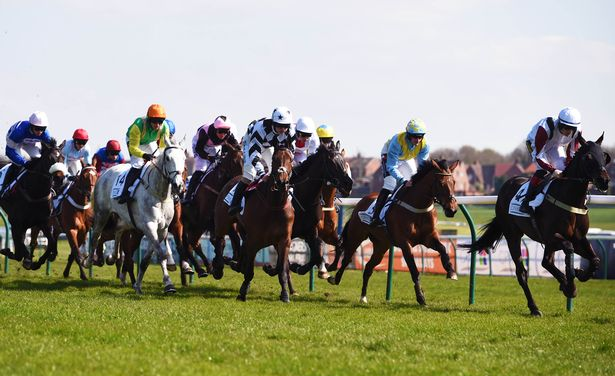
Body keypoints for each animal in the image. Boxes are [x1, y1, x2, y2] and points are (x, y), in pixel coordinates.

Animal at [0, 140, 60, 268]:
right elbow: (19, 249)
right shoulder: (16, 222)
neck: (35, 193)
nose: (59, 177)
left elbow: (51, 242)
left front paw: (38, 262)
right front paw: (25, 259)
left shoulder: (43, 221)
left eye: (62, 158)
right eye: (50, 159)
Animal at [212, 144, 296, 302]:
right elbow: (250, 270)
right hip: (222, 222)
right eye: (274, 160)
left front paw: (285, 294)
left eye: (291, 160)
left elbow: (282, 269)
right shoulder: (253, 240)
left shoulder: (283, 241)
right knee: (218, 240)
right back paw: (218, 267)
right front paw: (243, 292)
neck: (274, 204)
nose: (281, 181)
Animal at [330, 159, 460, 306]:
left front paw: (451, 271)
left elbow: (443, 249)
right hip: (356, 236)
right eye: (441, 183)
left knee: (368, 268)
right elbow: (414, 270)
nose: (452, 209)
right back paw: (335, 279)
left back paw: (363, 297)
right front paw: (421, 297)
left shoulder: (429, 237)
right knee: (347, 258)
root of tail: (361, 201)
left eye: (454, 182)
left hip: (381, 245)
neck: (418, 208)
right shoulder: (405, 243)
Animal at [466, 134, 612, 316]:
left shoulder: (579, 238)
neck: (569, 199)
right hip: (513, 235)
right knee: (522, 272)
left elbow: (595, 259)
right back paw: (535, 307)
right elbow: (569, 247)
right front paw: (571, 285)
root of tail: (506, 186)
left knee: (546, 262)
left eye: (604, 157)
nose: (604, 180)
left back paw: (562, 282)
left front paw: (579, 274)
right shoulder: (552, 237)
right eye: (588, 157)